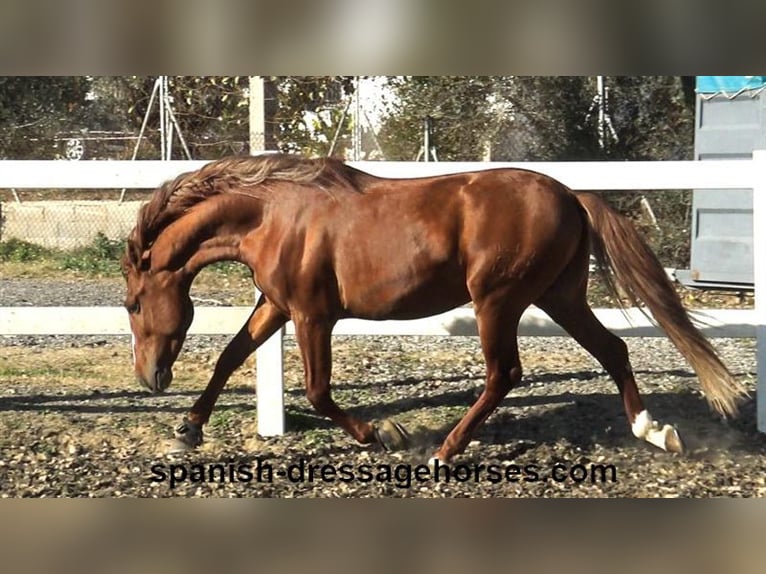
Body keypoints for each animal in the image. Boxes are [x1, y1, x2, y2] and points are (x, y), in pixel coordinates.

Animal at [121, 153, 752, 464]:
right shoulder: (277, 305)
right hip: (560, 296)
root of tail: (572, 195)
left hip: (498, 298)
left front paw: (384, 435)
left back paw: (446, 450)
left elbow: (319, 391)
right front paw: (186, 431)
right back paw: (655, 433)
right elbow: (230, 357)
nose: (150, 379)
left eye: (132, 303)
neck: (276, 214)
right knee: (613, 349)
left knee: (505, 373)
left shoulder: (311, 315)